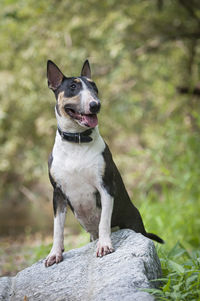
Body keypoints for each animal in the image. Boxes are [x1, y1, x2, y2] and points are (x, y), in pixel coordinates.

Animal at [44, 59, 163, 266]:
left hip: (134, 226)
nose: (95, 105)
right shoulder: (57, 194)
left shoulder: (105, 186)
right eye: (73, 87)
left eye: (95, 88)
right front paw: (54, 253)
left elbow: (104, 221)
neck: (77, 142)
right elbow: (57, 228)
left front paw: (105, 245)